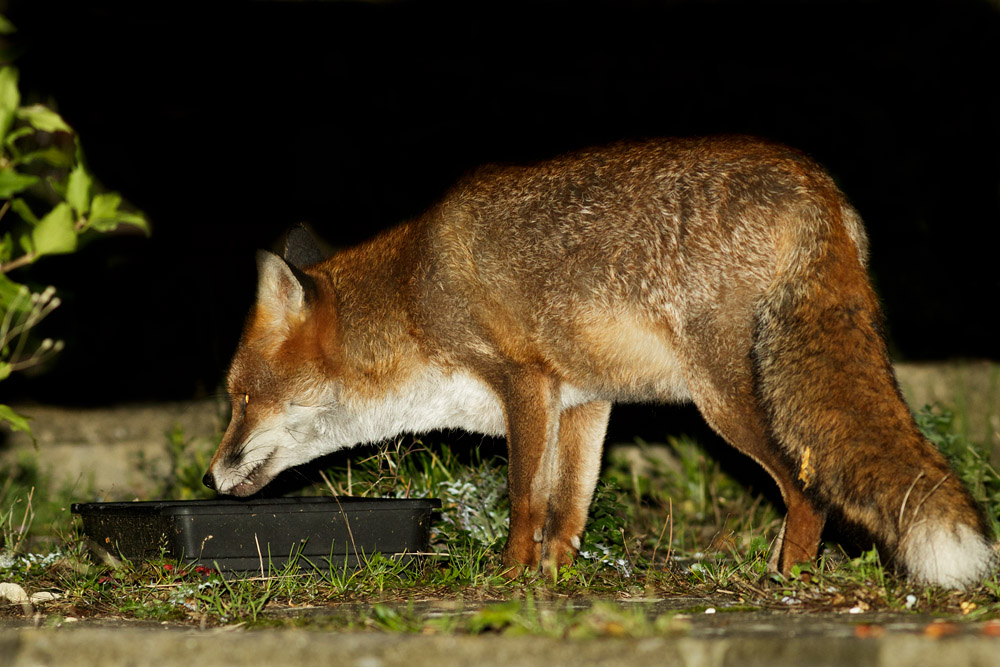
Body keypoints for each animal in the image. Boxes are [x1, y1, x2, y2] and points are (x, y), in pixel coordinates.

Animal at [203, 136, 995, 589]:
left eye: (239, 398)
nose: (209, 477)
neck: (416, 294)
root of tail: (817, 186)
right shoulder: (584, 401)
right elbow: (568, 506)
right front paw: (553, 580)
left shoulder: (523, 381)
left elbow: (524, 498)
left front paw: (509, 578)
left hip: (727, 401)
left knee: (809, 492)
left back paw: (786, 578)